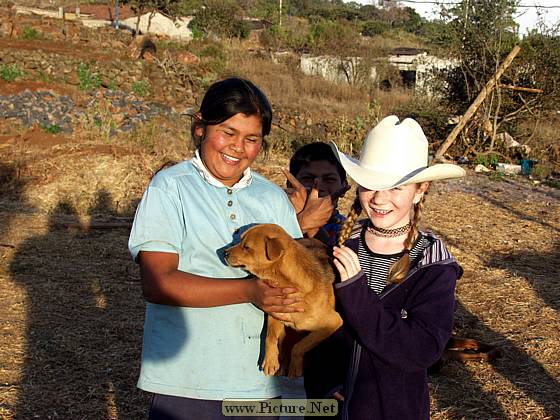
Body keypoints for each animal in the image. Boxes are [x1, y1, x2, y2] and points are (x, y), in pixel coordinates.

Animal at [225, 225, 344, 378]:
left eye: (246, 247)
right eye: (240, 241)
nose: (224, 253)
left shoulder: (333, 322)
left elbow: (299, 345)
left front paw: (295, 365)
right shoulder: (275, 315)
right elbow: (270, 337)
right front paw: (270, 360)